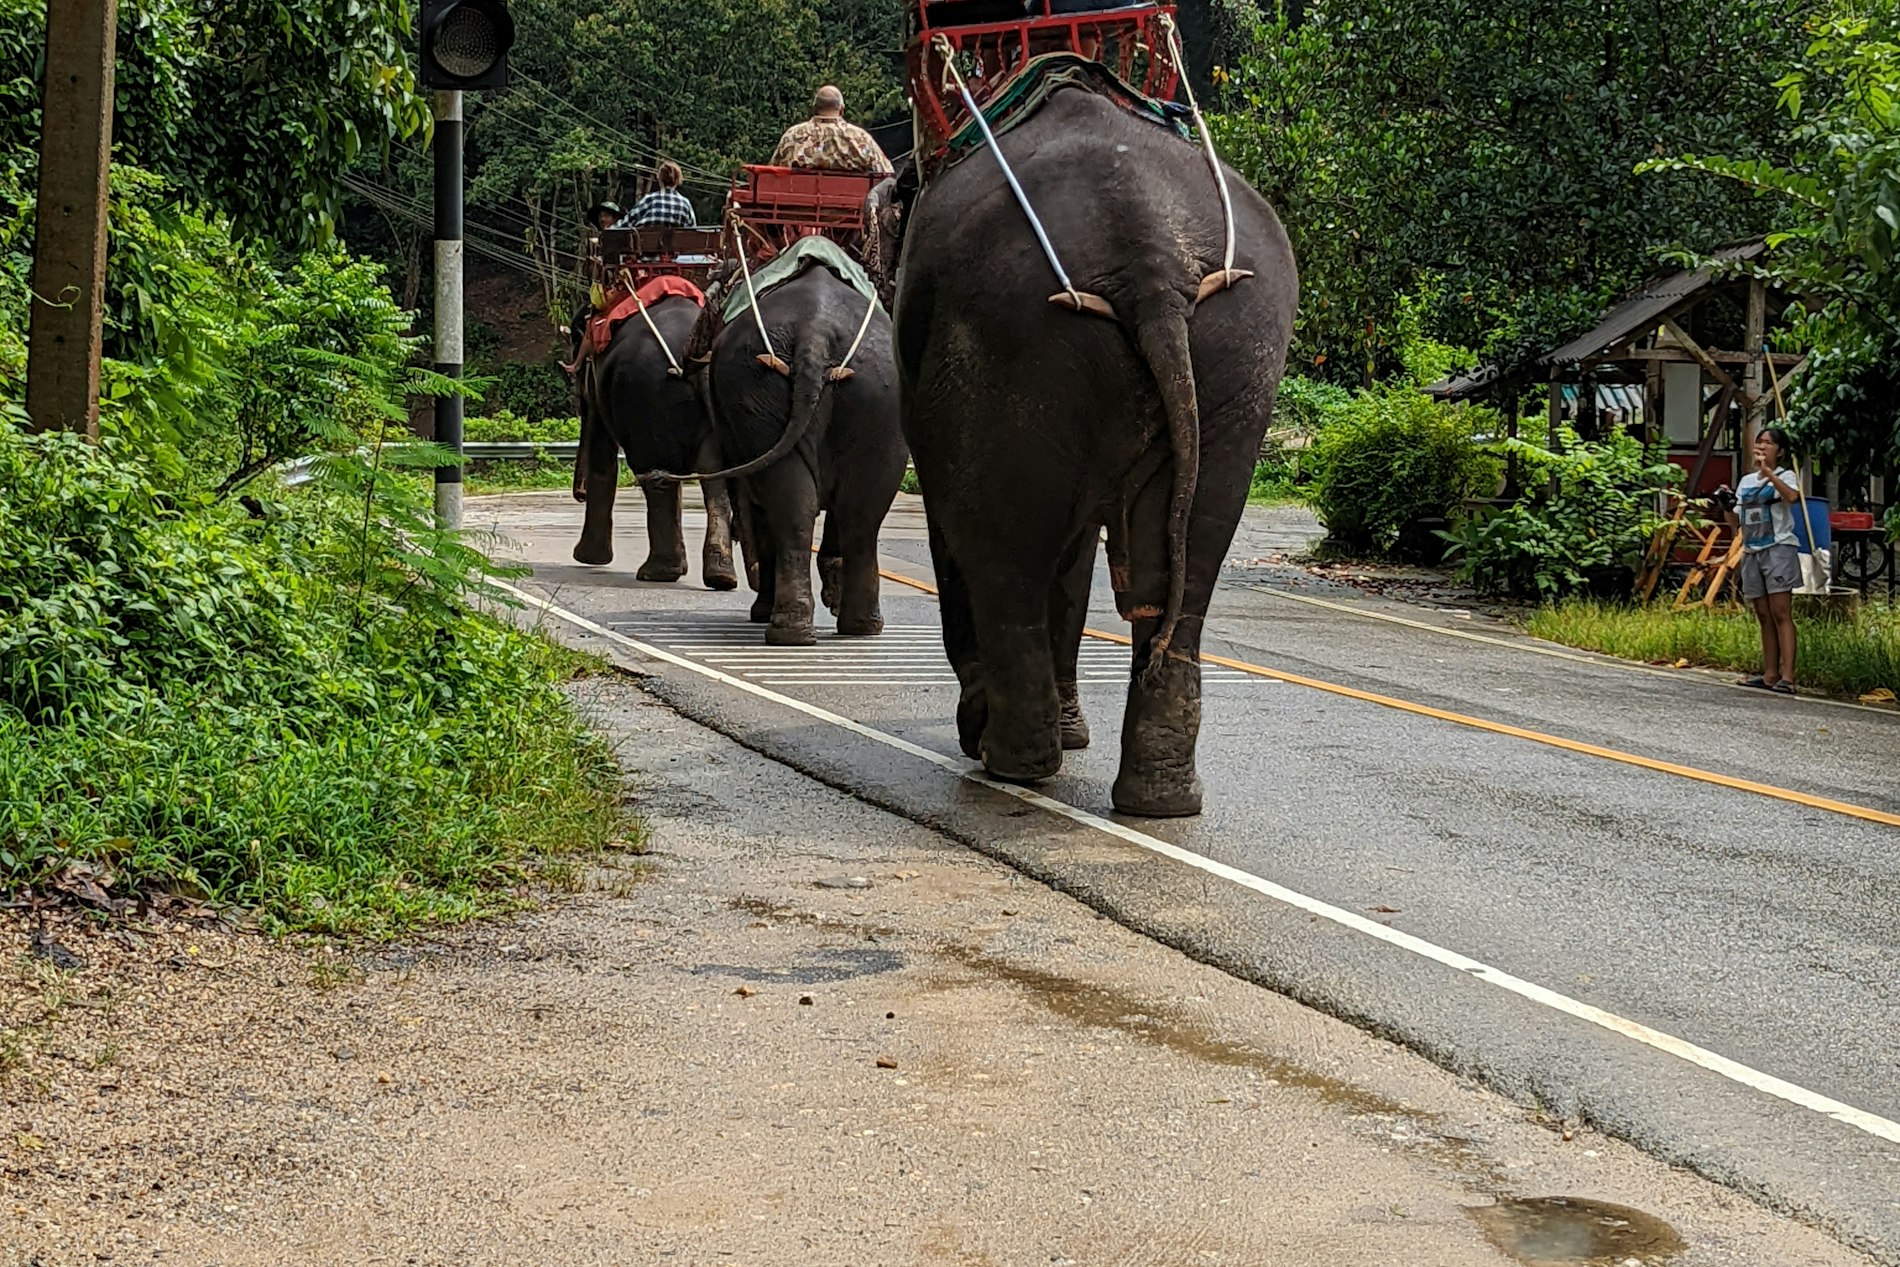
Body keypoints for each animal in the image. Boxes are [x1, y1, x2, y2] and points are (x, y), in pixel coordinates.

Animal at [570, 294, 741, 590]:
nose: (579, 494)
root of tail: (702, 360)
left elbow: (603, 456)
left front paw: (587, 558)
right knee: (713, 482)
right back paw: (721, 576)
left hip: (648, 400)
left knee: (658, 478)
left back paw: (656, 573)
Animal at [653, 263, 906, 646]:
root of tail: (815, 333)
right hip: (867, 400)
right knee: (855, 510)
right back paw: (846, 629)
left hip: (770, 395)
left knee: (799, 506)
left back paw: (795, 628)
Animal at [875, 85, 1298, 817]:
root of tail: (1152, 263)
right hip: (1240, 362)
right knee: (1188, 563)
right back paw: (1160, 799)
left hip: (1012, 347)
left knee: (999, 548)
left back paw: (1010, 762)